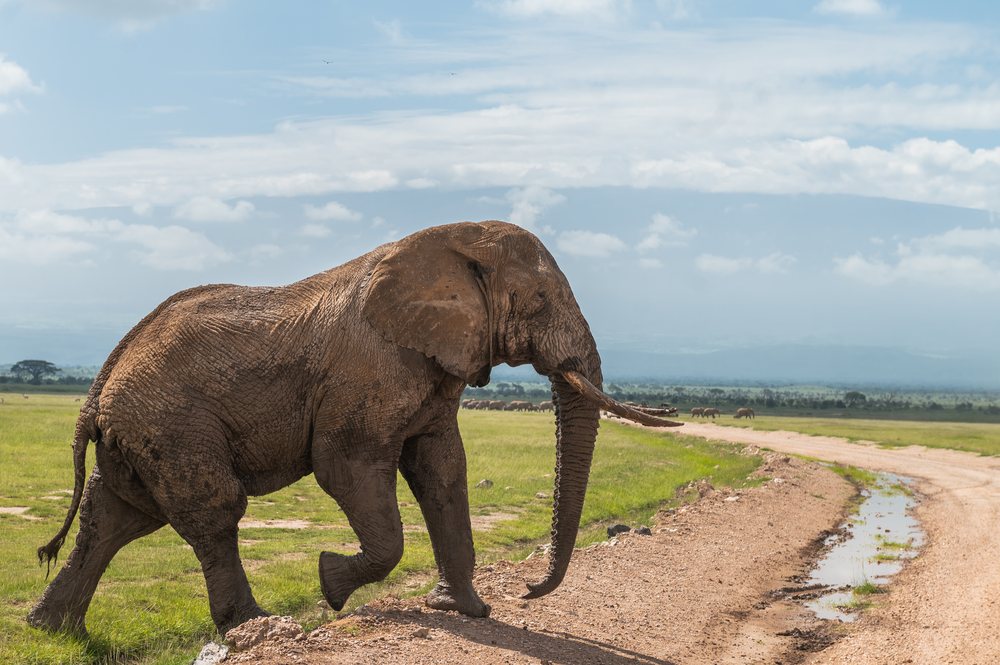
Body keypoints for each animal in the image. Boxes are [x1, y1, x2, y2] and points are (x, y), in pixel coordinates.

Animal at [29, 221, 682, 636]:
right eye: (541, 300)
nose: (528, 592)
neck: (453, 242)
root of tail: (98, 388)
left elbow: (442, 470)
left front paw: (466, 610)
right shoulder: (369, 368)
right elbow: (347, 466)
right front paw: (331, 584)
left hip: (141, 433)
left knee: (117, 517)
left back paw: (54, 631)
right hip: (173, 423)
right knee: (213, 509)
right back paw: (253, 625)